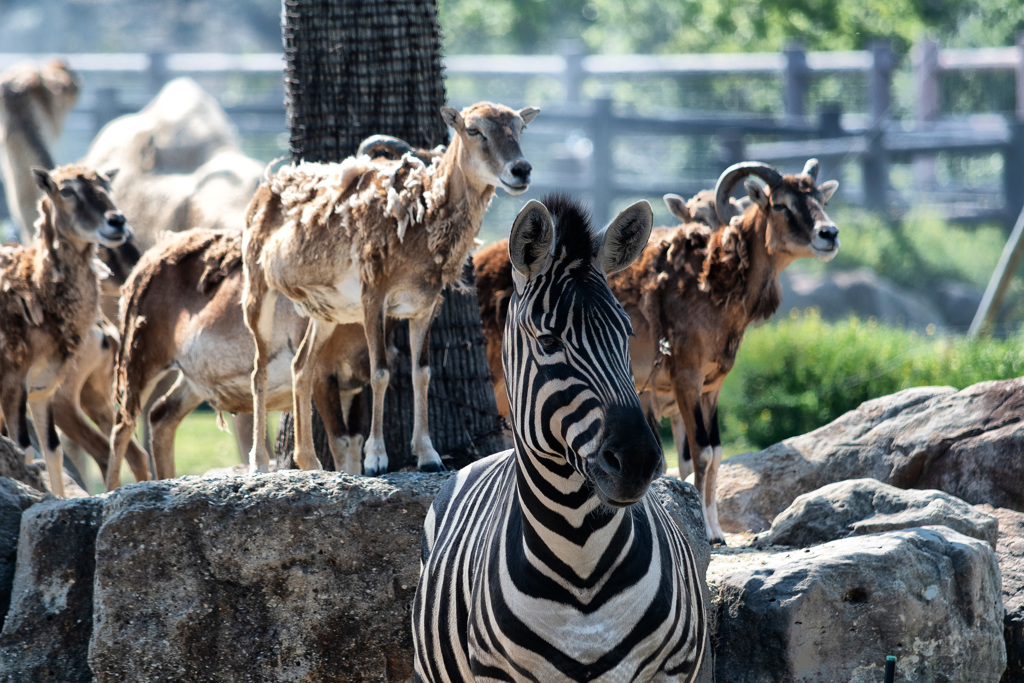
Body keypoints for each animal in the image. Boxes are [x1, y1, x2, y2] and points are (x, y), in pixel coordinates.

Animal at [0, 165, 132, 497]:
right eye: (67, 190)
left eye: (106, 185)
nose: (117, 221)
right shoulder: (13, 382)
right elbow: (26, 451)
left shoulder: (43, 389)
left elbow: (52, 451)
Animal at [107, 227, 372, 489]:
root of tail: (148, 259)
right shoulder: (323, 377)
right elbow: (340, 442)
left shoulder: (354, 387)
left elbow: (355, 441)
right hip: (144, 361)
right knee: (122, 426)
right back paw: (112, 490)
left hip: (192, 382)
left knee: (161, 415)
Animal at [243, 100, 540, 475]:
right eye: (474, 129)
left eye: (519, 128)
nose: (521, 170)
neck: (419, 227)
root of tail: (266, 187)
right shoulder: (374, 299)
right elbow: (380, 372)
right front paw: (376, 460)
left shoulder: (425, 306)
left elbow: (421, 372)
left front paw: (429, 457)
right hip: (258, 291)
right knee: (259, 372)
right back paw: (258, 463)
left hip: (325, 315)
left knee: (302, 367)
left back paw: (310, 463)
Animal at [471, 158, 839, 544]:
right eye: (780, 204)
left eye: (821, 200)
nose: (829, 234)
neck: (711, 285)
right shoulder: (684, 377)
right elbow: (701, 453)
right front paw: (706, 530)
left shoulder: (711, 386)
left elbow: (714, 452)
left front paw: (716, 528)